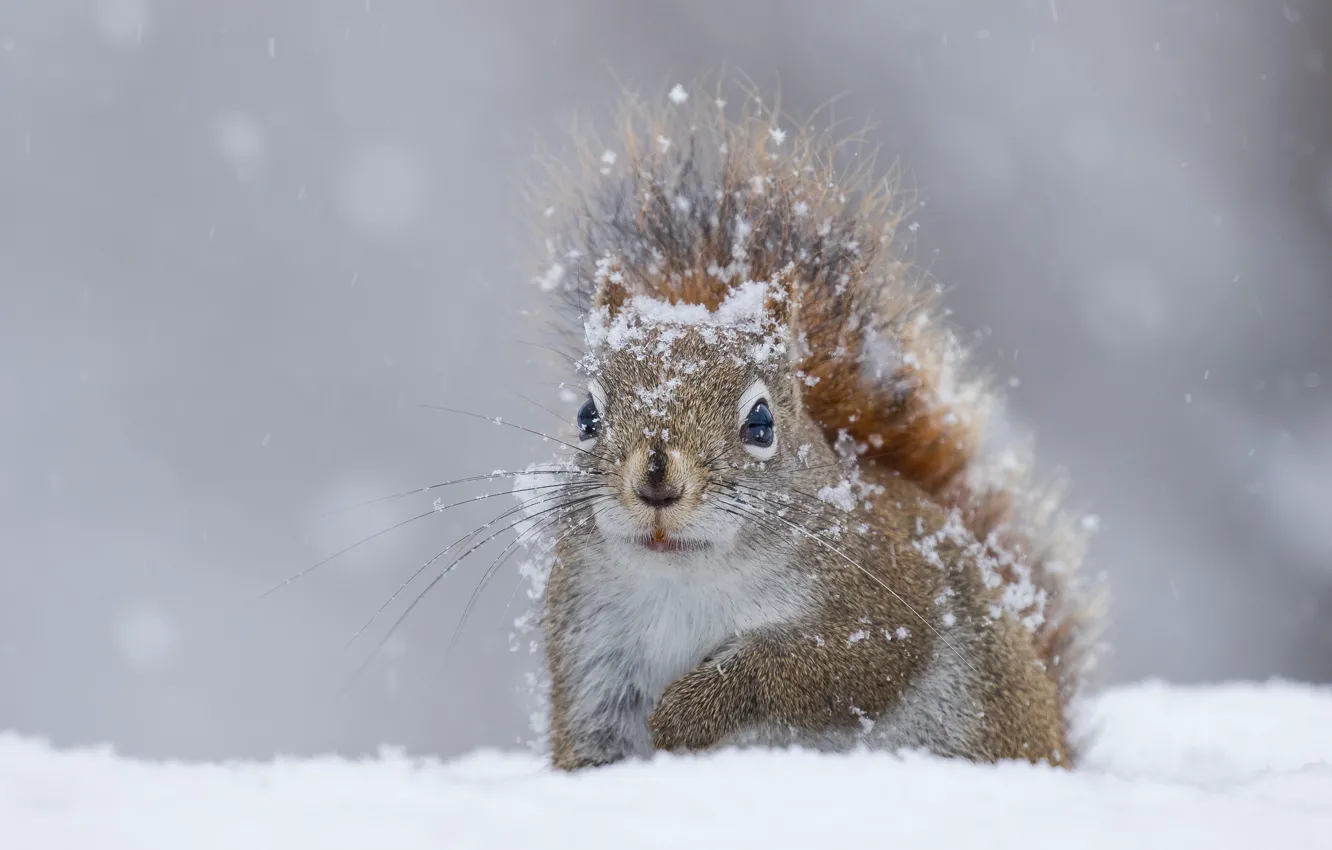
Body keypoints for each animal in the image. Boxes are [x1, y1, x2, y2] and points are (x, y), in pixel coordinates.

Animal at [516, 78, 1102, 772]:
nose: (657, 479)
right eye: (587, 416)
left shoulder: (884, 602)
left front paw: (687, 712)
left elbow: (809, 670)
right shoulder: (592, 651)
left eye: (761, 423)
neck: (684, 582)